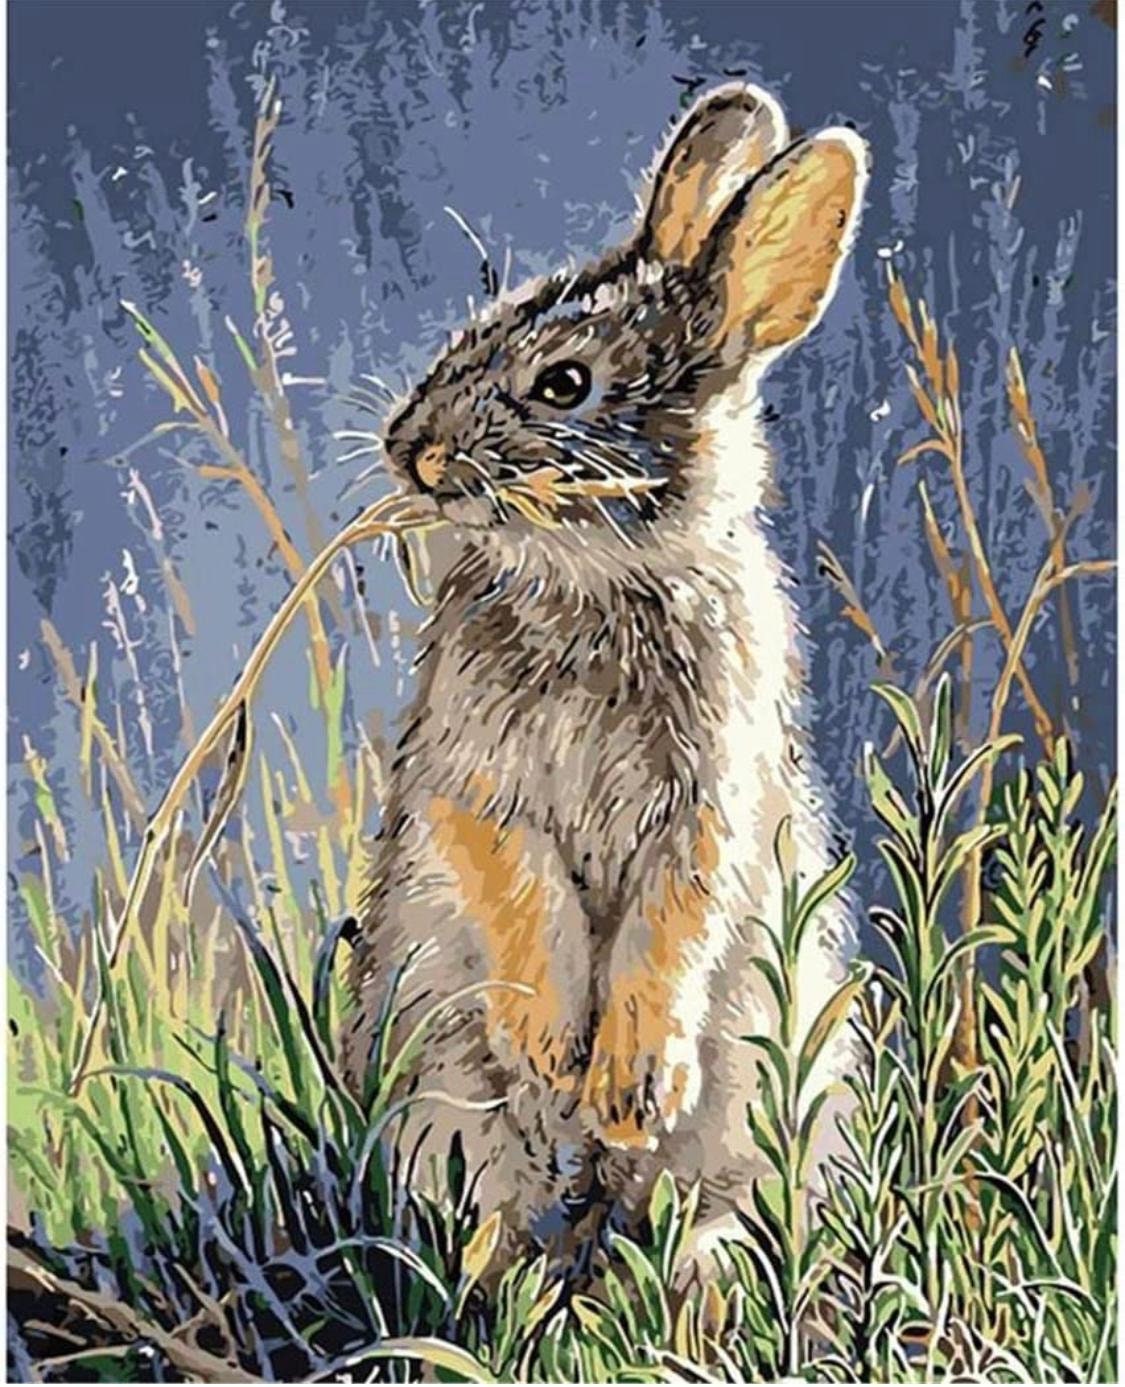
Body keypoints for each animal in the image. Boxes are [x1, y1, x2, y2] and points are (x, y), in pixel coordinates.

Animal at [341, 82, 869, 1275]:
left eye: (566, 383)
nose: (409, 450)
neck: (596, 583)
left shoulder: (710, 797)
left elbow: (673, 926)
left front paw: (627, 1087)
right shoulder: (472, 775)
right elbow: (517, 882)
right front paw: (551, 1049)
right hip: (443, 1107)